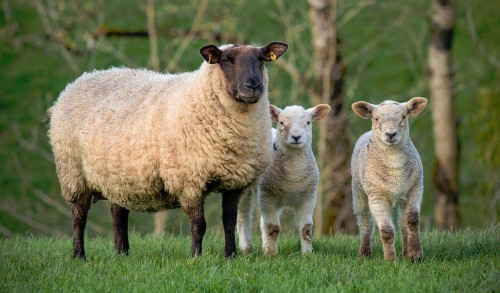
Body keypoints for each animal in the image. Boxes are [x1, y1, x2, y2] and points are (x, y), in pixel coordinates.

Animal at [47, 41, 290, 258]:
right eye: (226, 60)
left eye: (261, 60)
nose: (253, 86)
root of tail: (80, 80)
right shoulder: (189, 180)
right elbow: (199, 224)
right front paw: (195, 257)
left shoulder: (234, 181)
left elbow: (228, 222)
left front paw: (230, 256)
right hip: (74, 173)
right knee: (79, 216)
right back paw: (79, 255)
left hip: (119, 175)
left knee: (118, 214)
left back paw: (121, 254)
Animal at [236, 104, 330, 254]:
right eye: (281, 123)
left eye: (308, 122)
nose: (296, 136)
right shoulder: (267, 196)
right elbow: (273, 228)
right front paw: (271, 254)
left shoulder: (308, 197)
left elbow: (305, 228)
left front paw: (307, 253)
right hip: (244, 186)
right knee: (243, 217)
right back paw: (246, 248)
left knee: (262, 222)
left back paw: (263, 246)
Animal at [350, 96, 428, 260]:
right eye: (376, 118)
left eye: (404, 116)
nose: (390, 134)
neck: (395, 166)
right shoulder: (376, 197)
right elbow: (386, 230)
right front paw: (391, 260)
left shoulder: (416, 188)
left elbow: (412, 220)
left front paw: (416, 255)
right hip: (359, 191)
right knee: (365, 222)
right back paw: (364, 254)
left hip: (403, 195)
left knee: (403, 222)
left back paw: (406, 253)